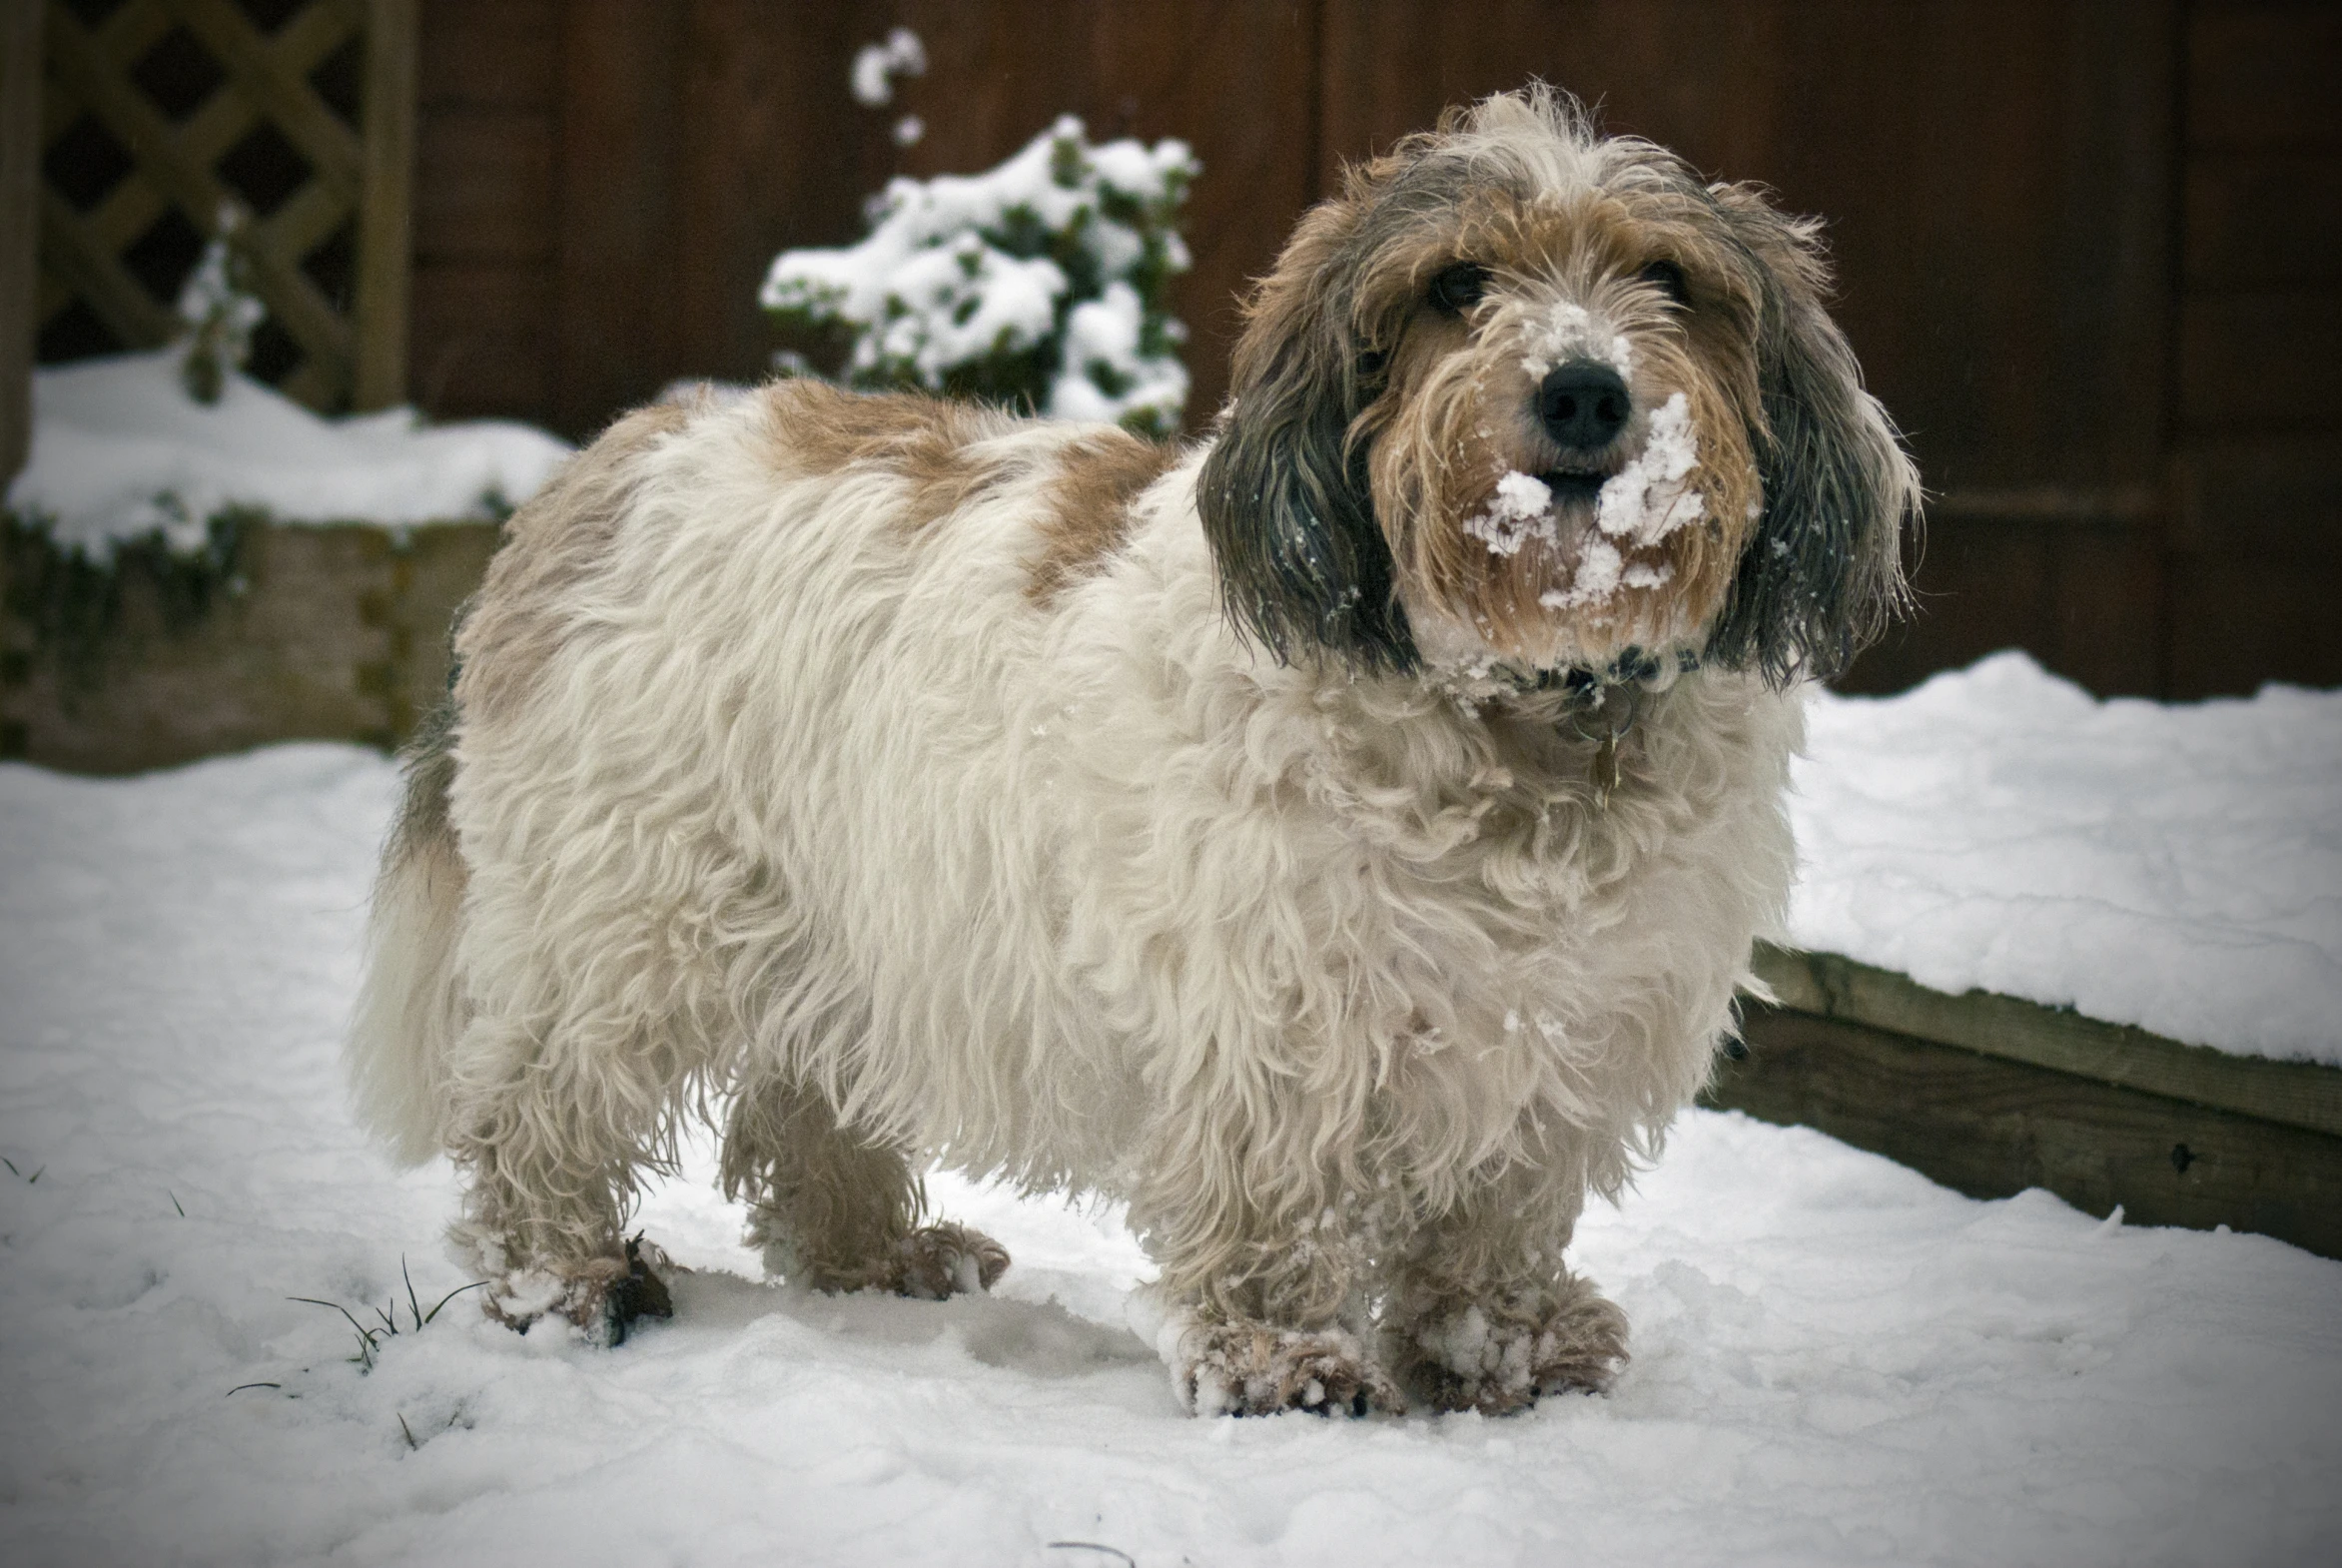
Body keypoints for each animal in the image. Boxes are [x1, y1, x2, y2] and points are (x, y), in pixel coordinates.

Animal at [351, 92, 1920, 1422]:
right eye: (1456, 285)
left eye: (1669, 279)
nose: (1585, 392)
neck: (1519, 713)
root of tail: (600, 466)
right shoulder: (1285, 1022)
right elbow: (1276, 1210)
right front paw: (1284, 1360)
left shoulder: (1562, 1041)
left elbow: (1494, 1223)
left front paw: (1508, 1349)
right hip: (622, 918)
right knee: (534, 1110)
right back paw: (564, 1281)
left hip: (841, 919)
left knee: (802, 1112)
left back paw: (878, 1257)